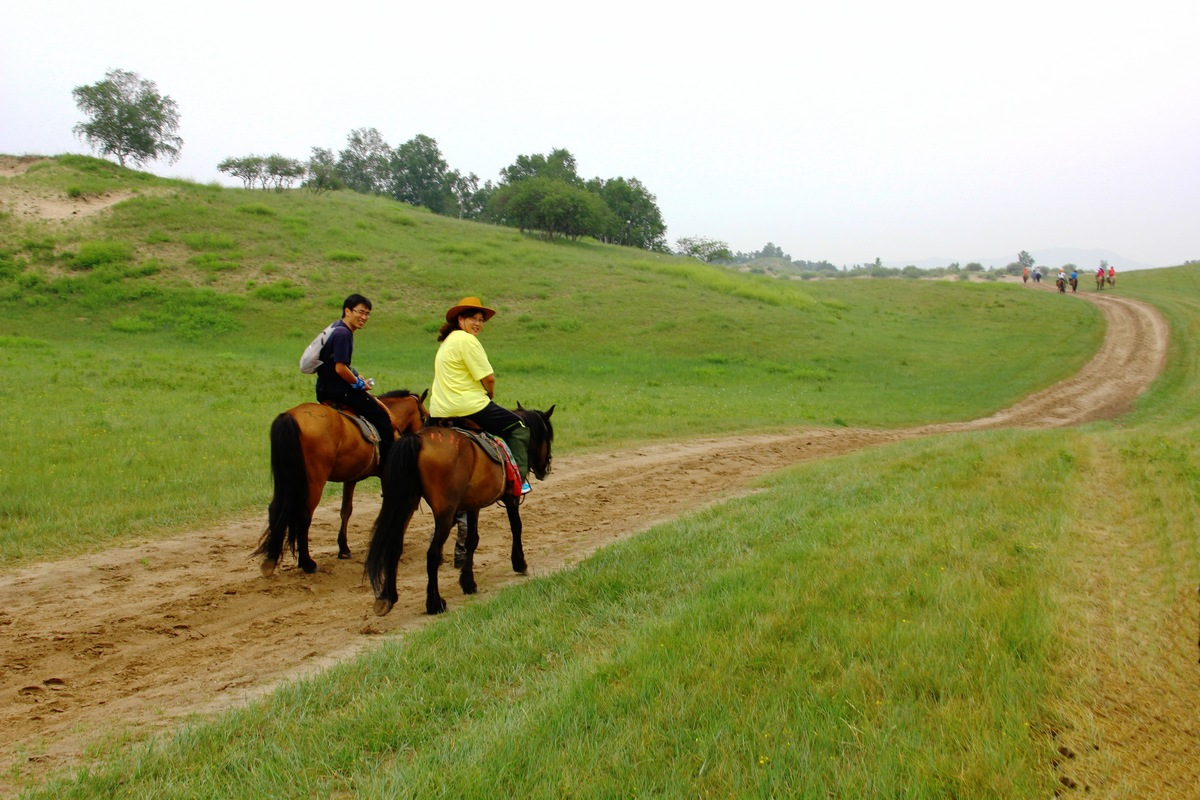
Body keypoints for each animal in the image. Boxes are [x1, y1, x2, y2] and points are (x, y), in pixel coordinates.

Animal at [253, 388, 427, 575]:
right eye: (425, 417)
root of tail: (290, 417)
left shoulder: (350, 479)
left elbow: (346, 510)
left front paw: (343, 548)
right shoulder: (386, 475)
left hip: (286, 480)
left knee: (275, 509)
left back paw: (270, 559)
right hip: (314, 482)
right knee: (304, 516)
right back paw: (307, 562)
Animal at [362, 402, 554, 618]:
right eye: (547, 437)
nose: (546, 467)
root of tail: (418, 439)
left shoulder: (473, 505)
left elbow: (471, 540)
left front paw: (468, 582)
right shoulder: (509, 498)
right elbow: (516, 527)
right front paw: (519, 563)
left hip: (406, 504)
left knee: (393, 546)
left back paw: (387, 598)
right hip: (444, 513)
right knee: (432, 553)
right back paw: (435, 603)